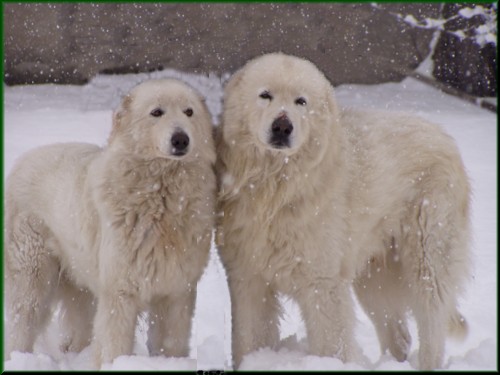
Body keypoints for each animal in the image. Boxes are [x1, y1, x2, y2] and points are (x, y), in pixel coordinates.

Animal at [4, 78, 217, 368]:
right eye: (156, 112)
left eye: (189, 112)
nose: (181, 139)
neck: (161, 198)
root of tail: (22, 160)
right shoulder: (120, 291)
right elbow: (114, 343)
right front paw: (116, 364)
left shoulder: (177, 291)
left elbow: (171, 341)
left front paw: (170, 363)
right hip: (33, 272)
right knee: (22, 318)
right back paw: (17, 358)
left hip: (78, 279)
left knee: (79, 322)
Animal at [216, 52, 472, 370]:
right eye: (265, 95)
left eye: (301, 101)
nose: (282, 127)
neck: (276, 186)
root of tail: (442, 133)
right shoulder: (248, 279)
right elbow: (249, 340)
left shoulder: (322, 284)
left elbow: (330, 345)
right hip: (375, 278)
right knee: (399, 336)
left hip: (427, 257)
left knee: (432, 323)